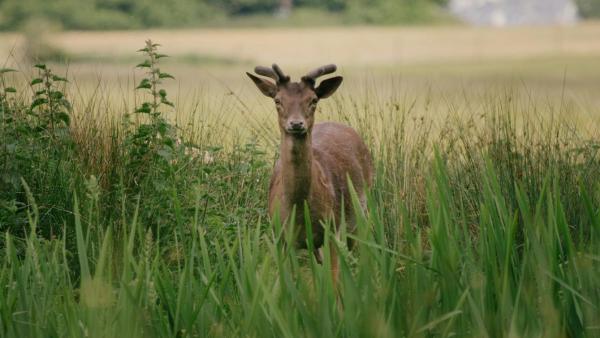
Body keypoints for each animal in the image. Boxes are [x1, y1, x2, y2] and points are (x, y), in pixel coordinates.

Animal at [246, 64, 372, 286]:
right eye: (277, 100)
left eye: (313, 100)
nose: (296, 124)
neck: (298, 208)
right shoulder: (281, 236)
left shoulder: (332, 230)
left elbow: (333, 282)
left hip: (360, 216)